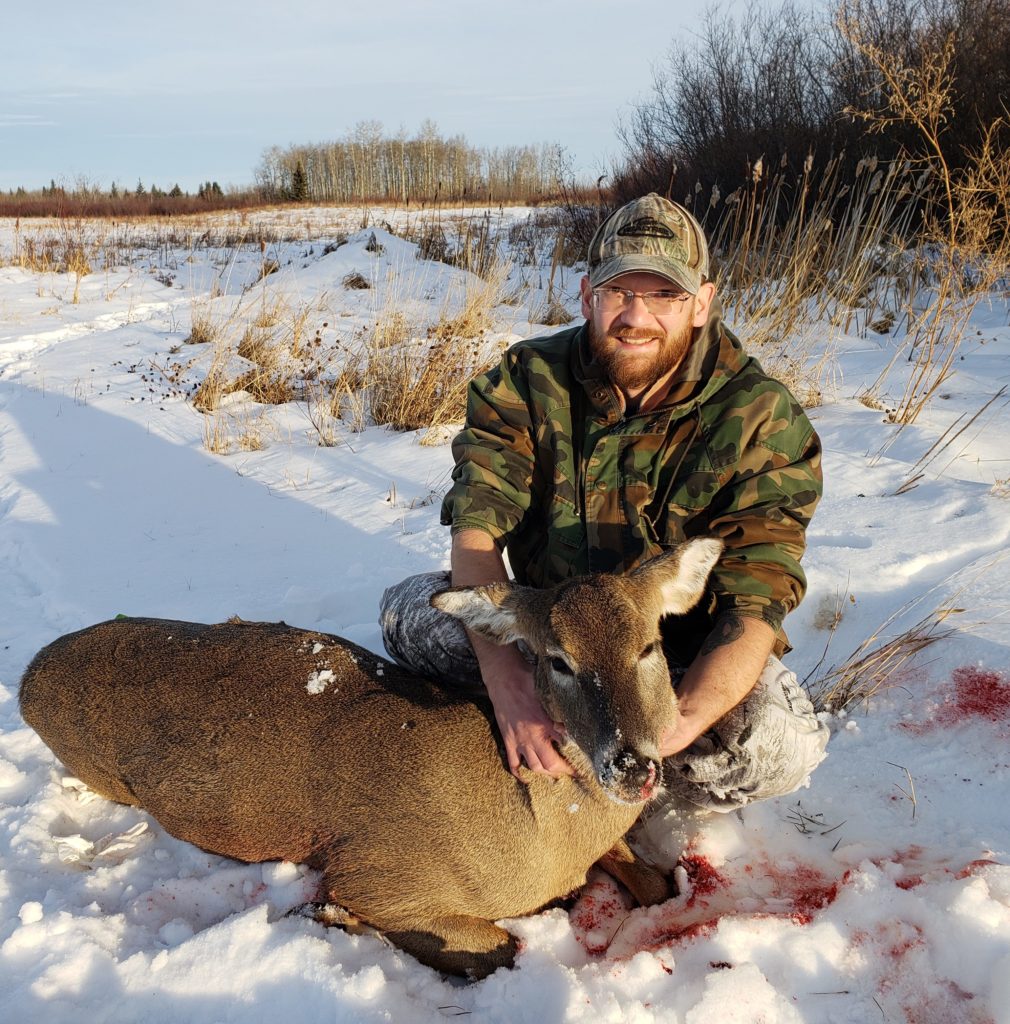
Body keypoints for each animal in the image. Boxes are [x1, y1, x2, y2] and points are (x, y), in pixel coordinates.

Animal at [19, 536, 721, 974]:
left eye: (650, 646)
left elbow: (656, 881)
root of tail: (27, 677)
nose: (631, 765)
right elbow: (502, 946)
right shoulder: (380, 873)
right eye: (557, 659)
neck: (540, 836)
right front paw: (332, 914)